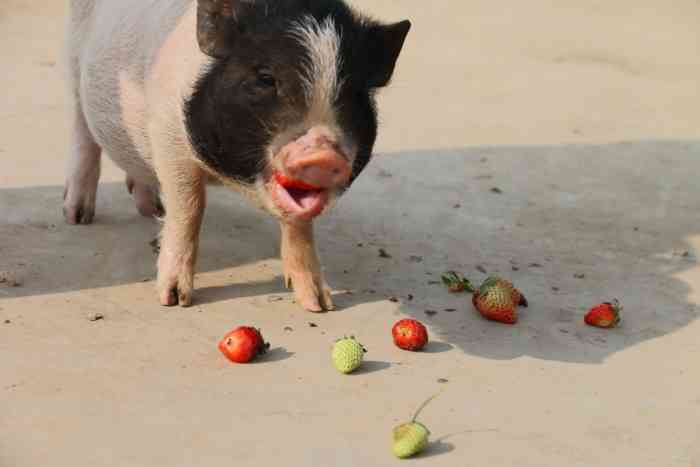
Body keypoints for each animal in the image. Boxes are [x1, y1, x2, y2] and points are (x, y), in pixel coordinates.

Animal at [65, 0, 410, 314]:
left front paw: (319, 305)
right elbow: (189, 208)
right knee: (82, 127)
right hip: (73, 60)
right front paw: (175, 300)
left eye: (354, 91)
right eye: (265, 78)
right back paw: (78, 217)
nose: (323, 154)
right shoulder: (168, 135)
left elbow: (299, 226)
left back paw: (150, 209)